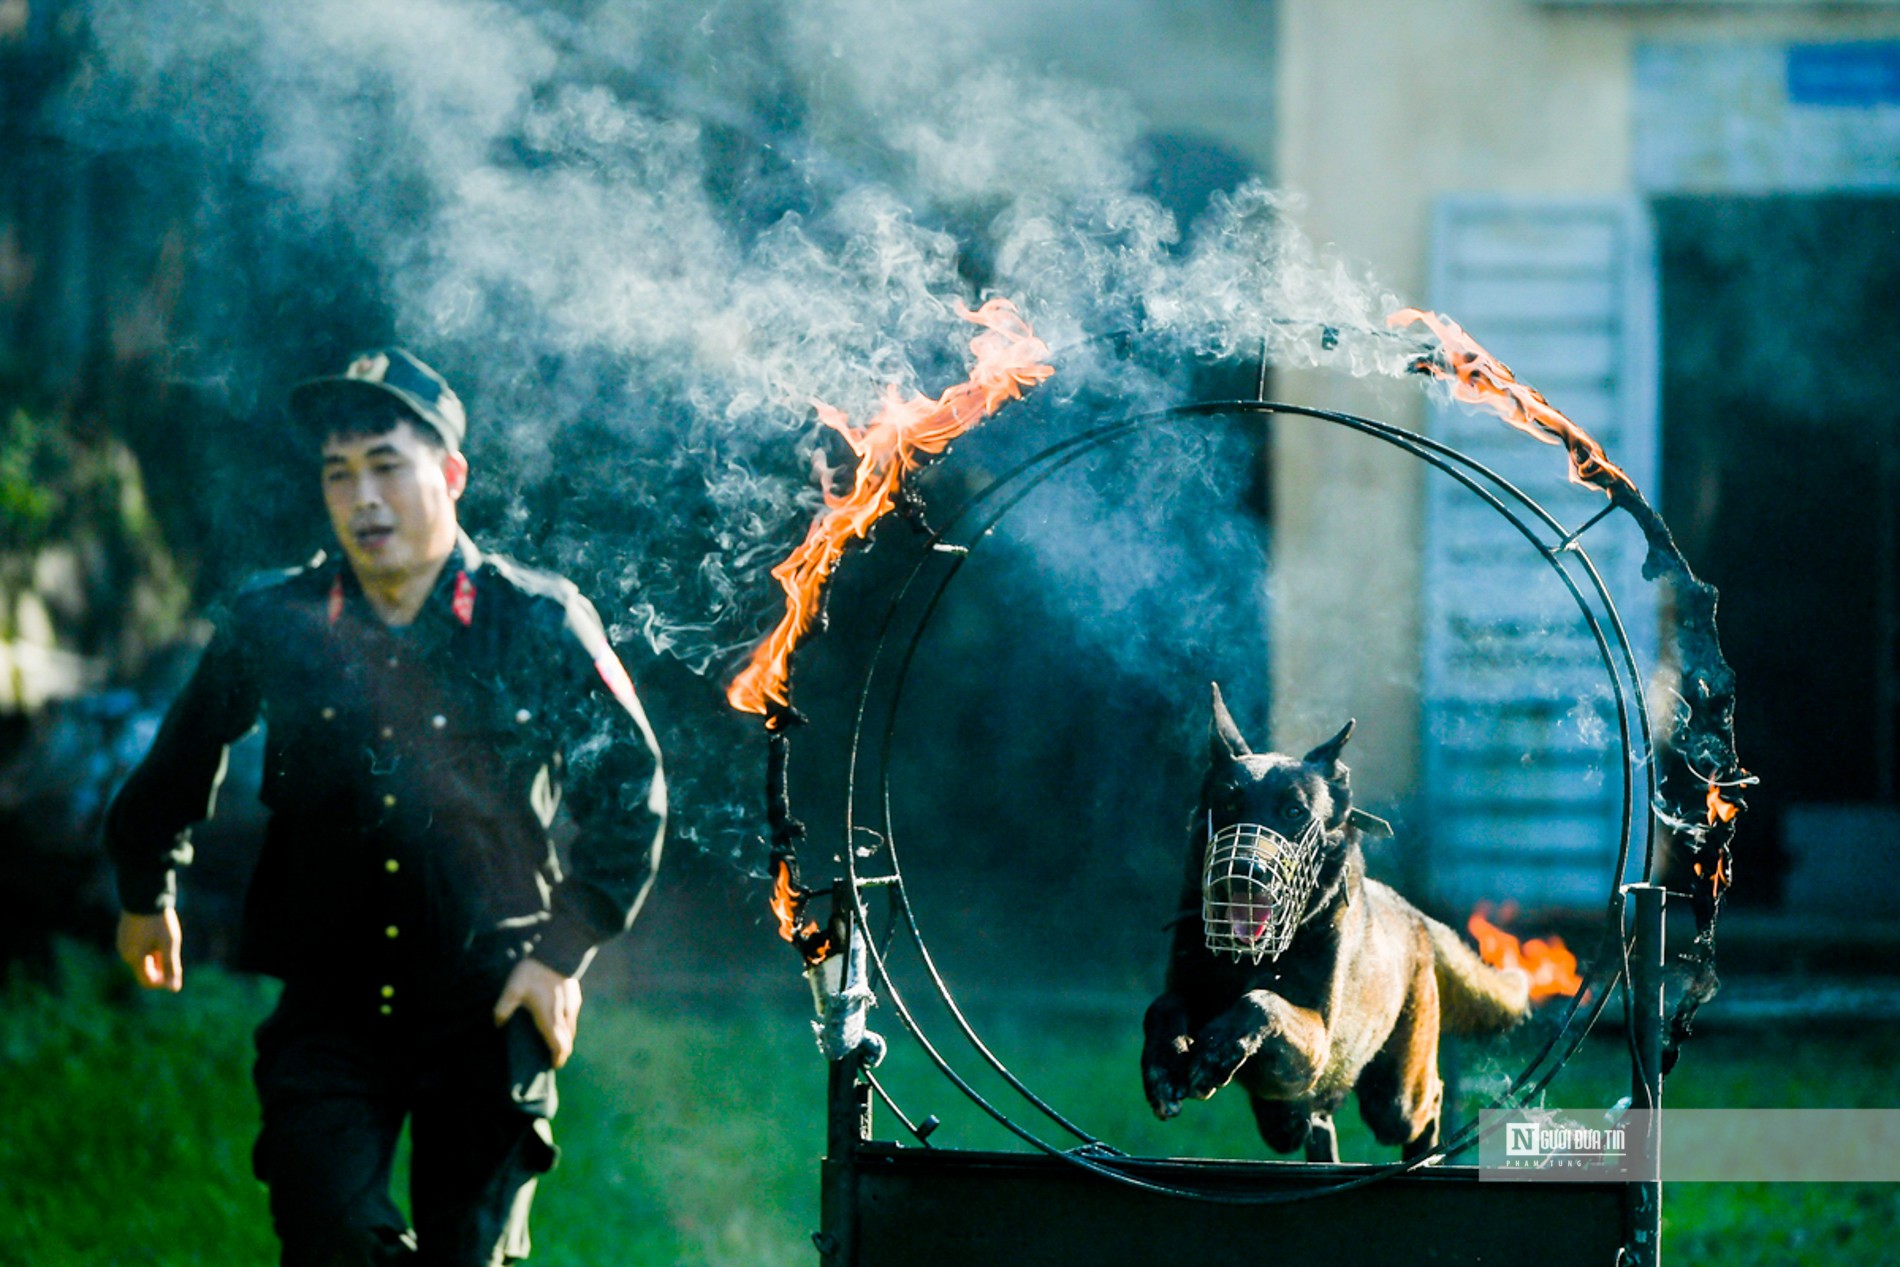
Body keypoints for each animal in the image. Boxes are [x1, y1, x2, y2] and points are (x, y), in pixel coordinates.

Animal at [1140, 687, 1527, 1162]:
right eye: (1228, 804)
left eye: (1294, 811)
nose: (1245, 870)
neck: (1252, 959)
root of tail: (1415, 916)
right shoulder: (1189, 990)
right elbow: (1164, 1004)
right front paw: (1163, 1065)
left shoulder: (1316, 1046)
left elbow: (1261, 1001)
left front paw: (1216, 1049)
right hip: (1286, 1118)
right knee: (1314, 1124)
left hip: (1393, 1095)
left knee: (1426, 1100)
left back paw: (1426, 1155)